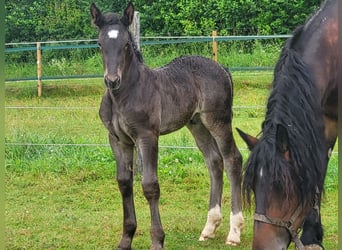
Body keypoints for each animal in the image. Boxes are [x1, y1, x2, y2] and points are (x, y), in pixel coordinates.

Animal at [90, 1, 243, 248]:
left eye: (125, 45)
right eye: (100, 44)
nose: (112, 80)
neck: (124, 95)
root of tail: (222, 69)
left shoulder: (147, 136)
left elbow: (150, 185)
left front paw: (157, 240)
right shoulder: (118, 139)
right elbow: (124, 183)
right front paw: (126, 238)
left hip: (218, 120)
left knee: (233, 160)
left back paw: (234, 232)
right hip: (197, 124)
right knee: (214, 161)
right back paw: (209, 228)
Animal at [239, 0, 338, 249]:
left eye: (282, 188)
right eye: (254, 187)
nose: (263, 247)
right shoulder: (325, 121)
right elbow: (317, 170)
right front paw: (312, 237)